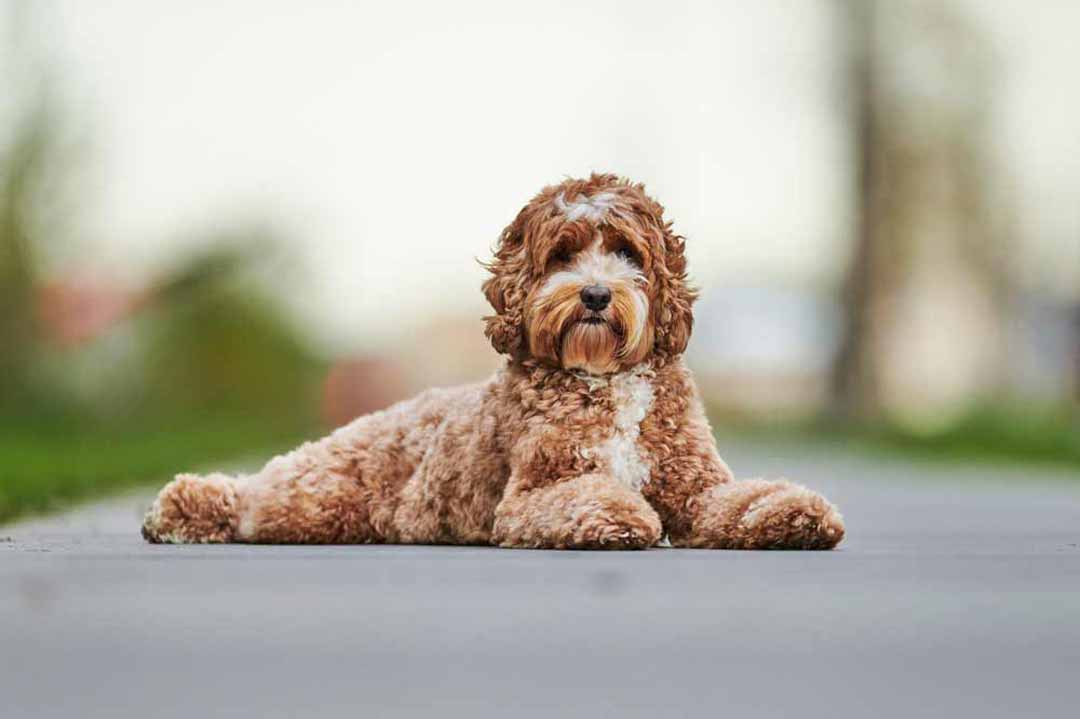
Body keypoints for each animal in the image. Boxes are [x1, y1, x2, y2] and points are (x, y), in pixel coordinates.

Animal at [141, 173, 842, 548]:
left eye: (627, 252)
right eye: (561, 253)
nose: (595, 294)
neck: (605, 381)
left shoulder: (696, 485)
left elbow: (741, 499)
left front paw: (794, 514)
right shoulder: (536, 492)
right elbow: (587, 496)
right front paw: (618, 517)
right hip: (315, 496)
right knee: (251, 496)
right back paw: (176, 508)